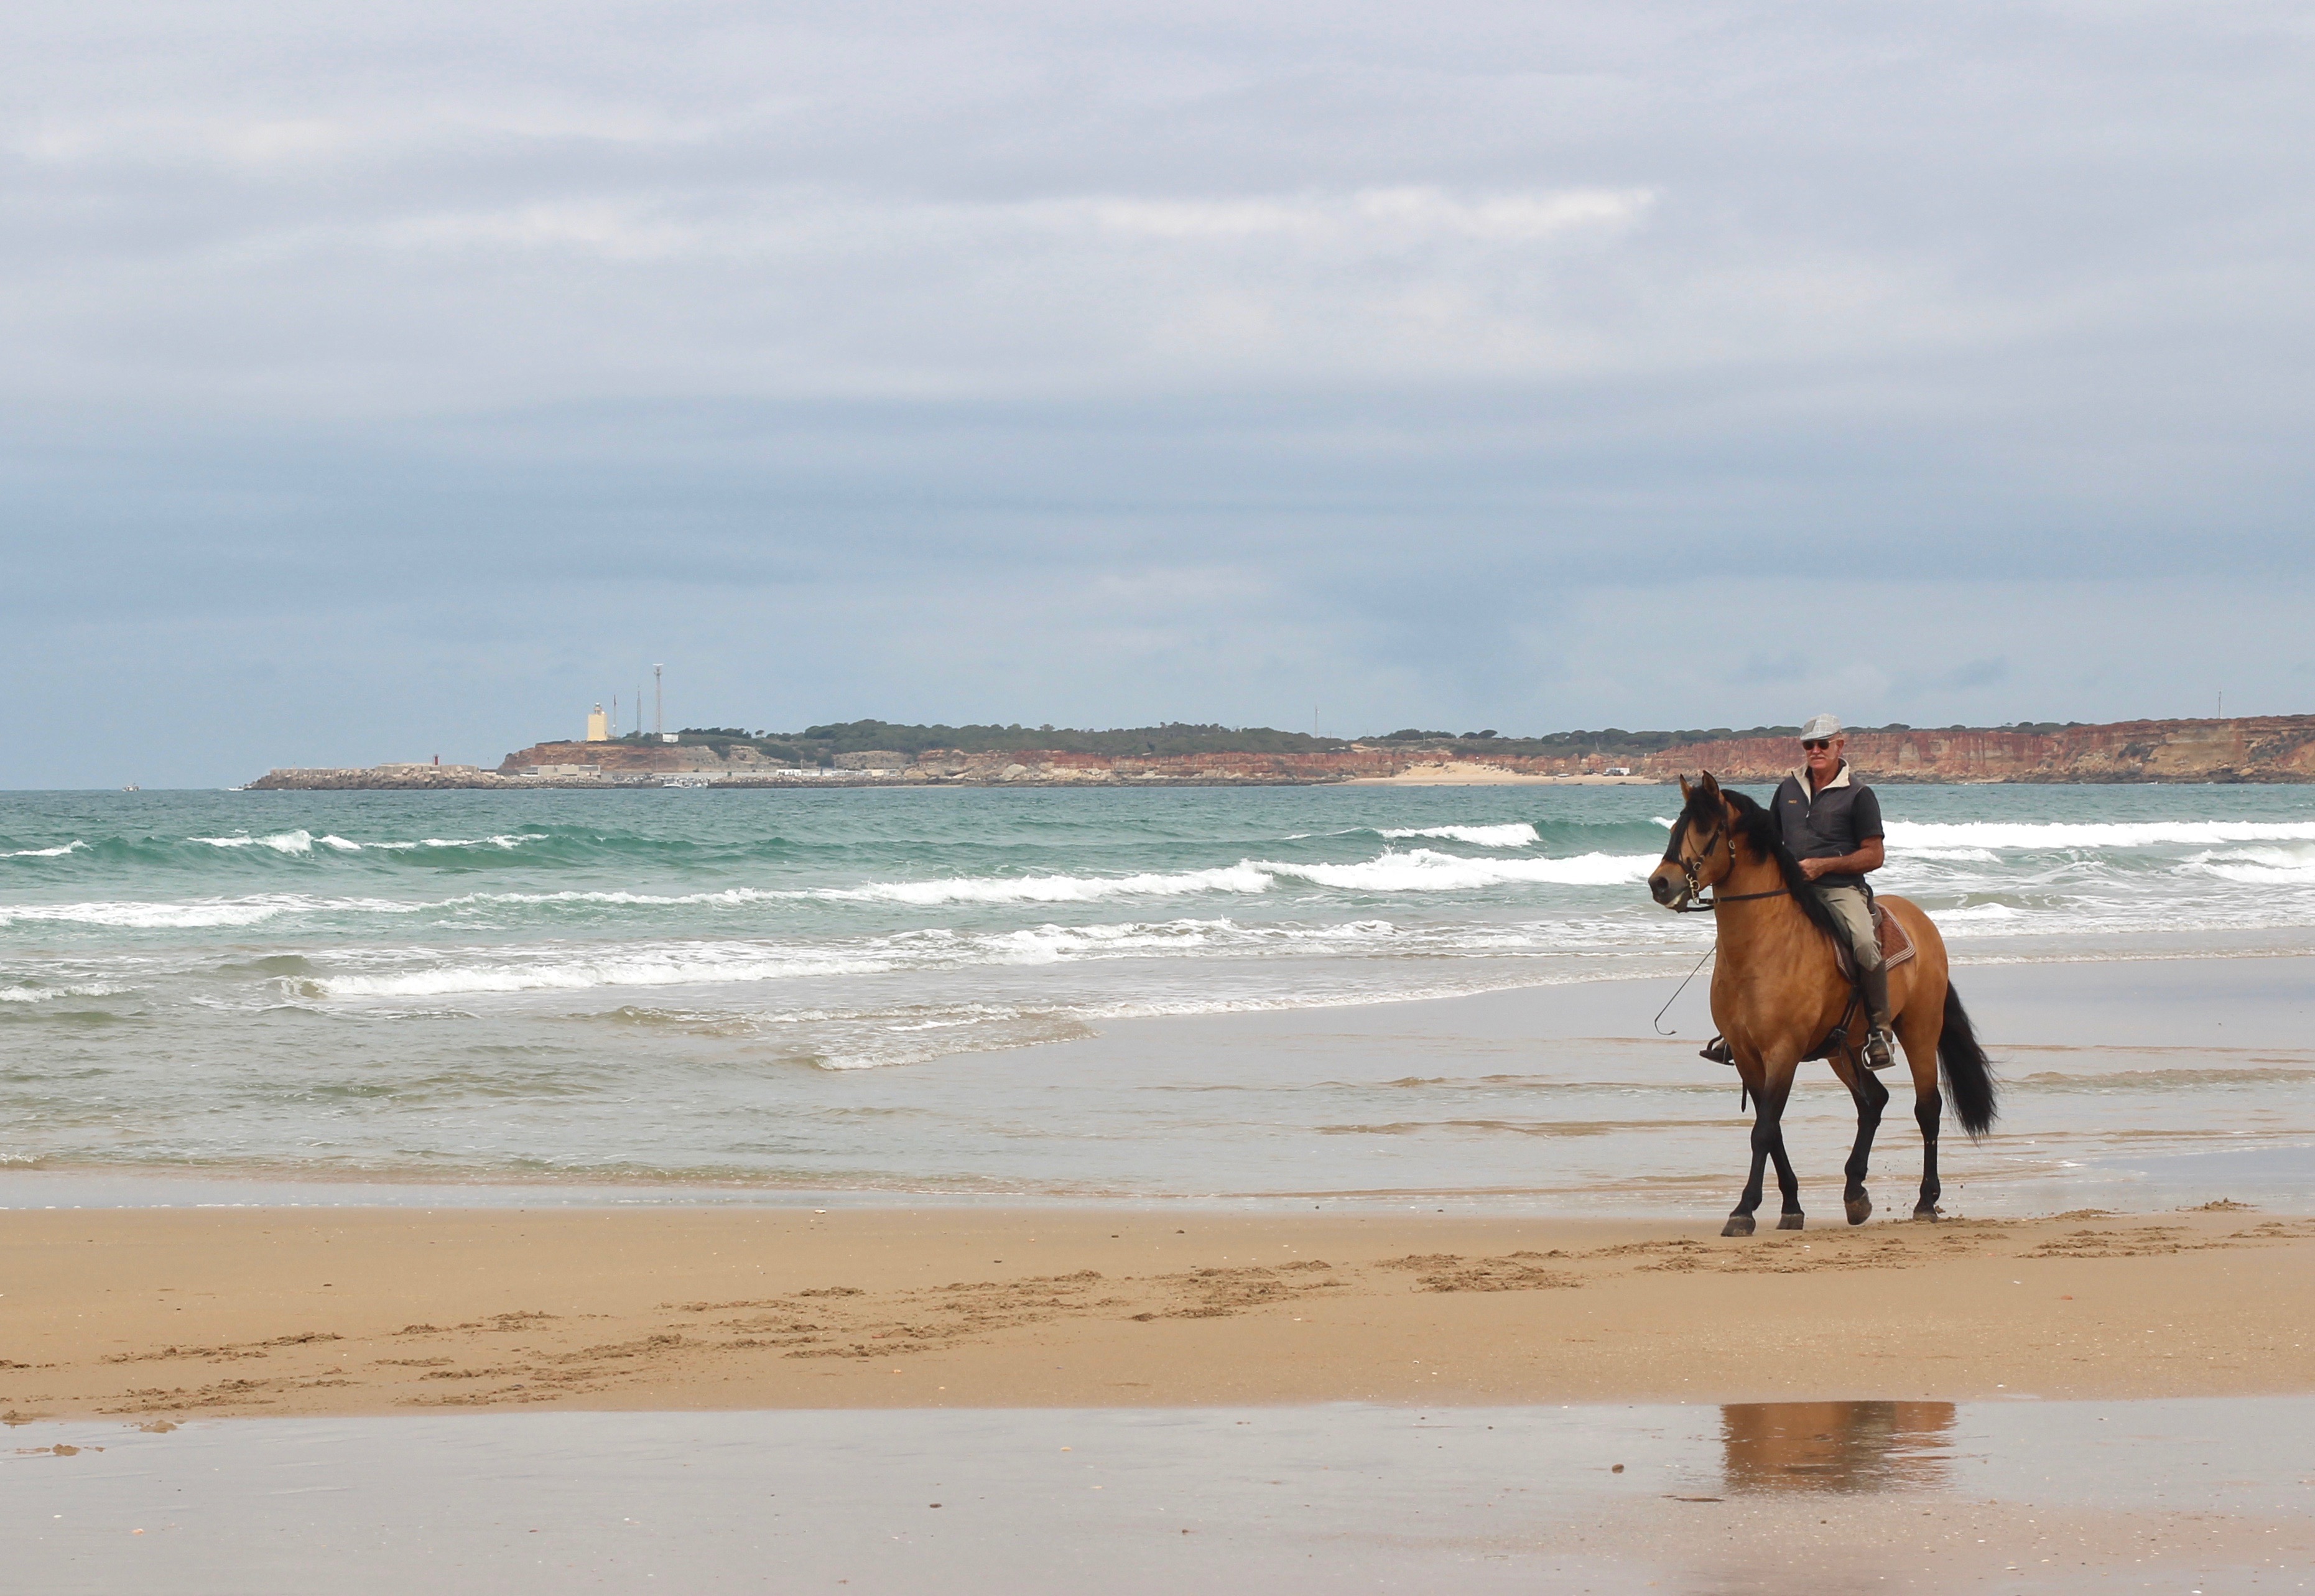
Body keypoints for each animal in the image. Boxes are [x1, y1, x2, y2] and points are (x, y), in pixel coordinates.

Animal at [1648, 773, 1990, 1232]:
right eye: (1673, 828)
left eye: (1707, 830)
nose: (1660, 884)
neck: (1761, 947)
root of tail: (1921, 921)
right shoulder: (1747, 1054)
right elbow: (1771, 1128)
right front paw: (1791, 1206)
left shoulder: (1783, 1051)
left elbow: (1763, 1130)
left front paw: (1744, 1211)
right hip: (1842, 1050)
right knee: (1873, 1103)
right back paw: (1855, 1193)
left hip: (1920, 1030)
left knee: (1927, 1109)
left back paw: (1925, 1200)